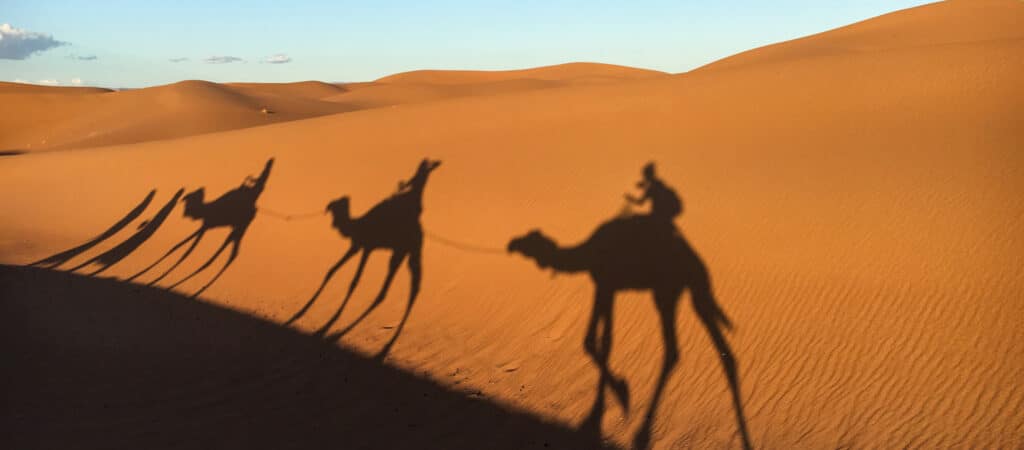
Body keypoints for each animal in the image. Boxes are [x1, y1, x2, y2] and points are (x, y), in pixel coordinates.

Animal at [128, 158, 273, 298]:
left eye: (190, 197)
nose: (184, 212)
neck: (204, 210)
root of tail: (254, 208)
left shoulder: (205, 227)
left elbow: (187, 251)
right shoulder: (204, 226)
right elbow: (177, 246)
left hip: (240, 226)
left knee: (231, 252)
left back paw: (199, 287)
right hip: (237, 227)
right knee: (230, 250)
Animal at [286, 158, 441, 360]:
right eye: (333, 206)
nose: (333, 223)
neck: (356, 224)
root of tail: (419, 232)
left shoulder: (366, 247)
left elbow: (354, 281)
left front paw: (331, 321)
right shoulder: (356, 246)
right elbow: (332, 270)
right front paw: (303, 310)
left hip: (403, 250)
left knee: (402, 287)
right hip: (406, 252)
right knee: (409, 287)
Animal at [507, 215, 751, 450]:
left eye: (529, 240)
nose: (511, 244)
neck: (588, 253)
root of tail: (696, 264)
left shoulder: (604, 283)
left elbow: (592, 341)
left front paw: (621, 393)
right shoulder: (607, 286)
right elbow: (602, 341)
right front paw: (604, 406)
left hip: (666, 292)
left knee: (673, 349)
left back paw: (643, 434)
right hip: (690, 293)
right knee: (722, 352)